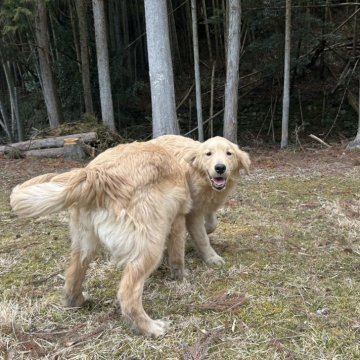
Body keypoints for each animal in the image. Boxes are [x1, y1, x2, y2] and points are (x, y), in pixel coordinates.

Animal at [10, 141, 191, 338]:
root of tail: (96, 174)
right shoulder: (178, 220)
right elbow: (177, 257)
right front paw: (181, 277)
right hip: (150, 245)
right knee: (127, 295)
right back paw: (150, 328)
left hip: (84, 245)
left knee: (72, 279)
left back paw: (77, 302)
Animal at [152, 134, 250, 264]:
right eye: (208, 154)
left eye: (229, 153)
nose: (220, 168)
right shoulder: (193, 213)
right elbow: (202, 238)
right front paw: (212, 257)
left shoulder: (208, 204)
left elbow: (212, 224)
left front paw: (204, 230)